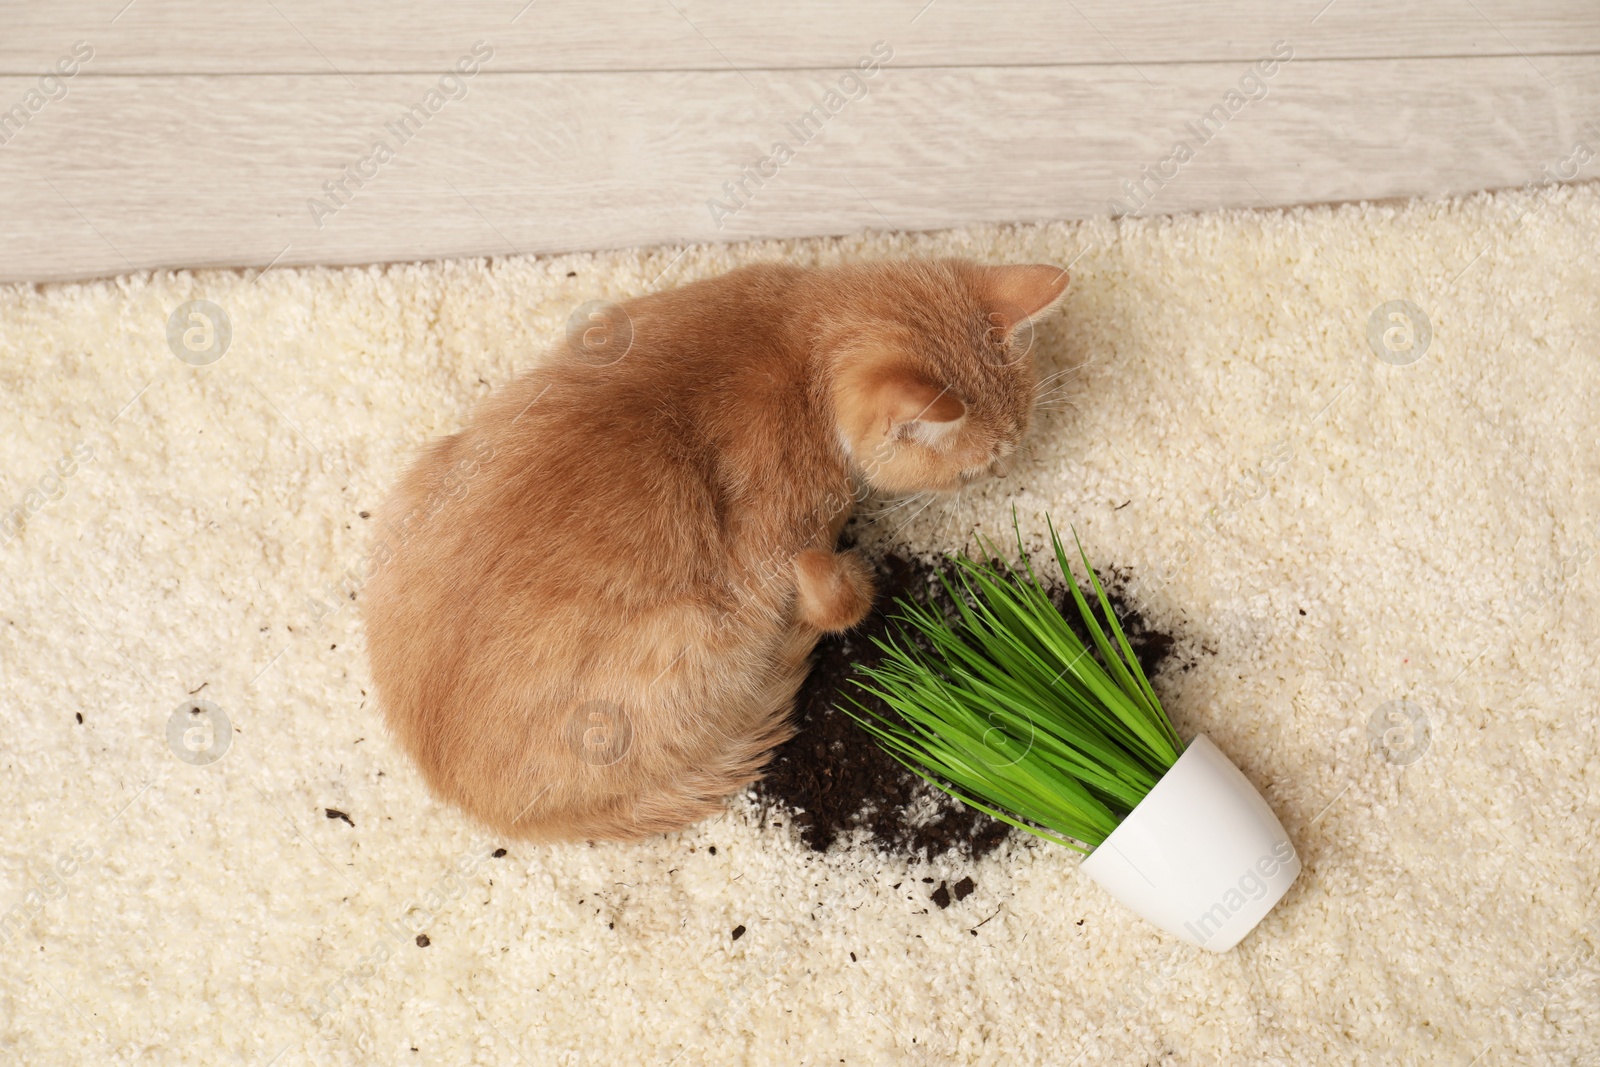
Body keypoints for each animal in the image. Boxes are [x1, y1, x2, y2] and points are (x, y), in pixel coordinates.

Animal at [361, 255, 1062, 844]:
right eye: (978, 468)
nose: (1005, 470)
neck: (798, 338)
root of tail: (475, 801)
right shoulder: (782, 543)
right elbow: (833, 601)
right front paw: (849, 577)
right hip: (701, 634)